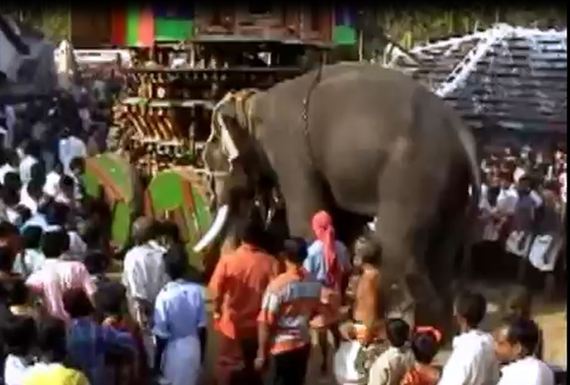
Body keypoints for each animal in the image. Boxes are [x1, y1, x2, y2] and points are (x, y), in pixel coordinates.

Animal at [197, 63, 478, 330]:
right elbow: (343, 223)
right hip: (452, 186)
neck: (253, 104)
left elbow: (307, 215)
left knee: (398, 249)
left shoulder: (290, 152)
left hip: (413, 175)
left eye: (211, 158)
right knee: (442, 256)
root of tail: (461, 131)